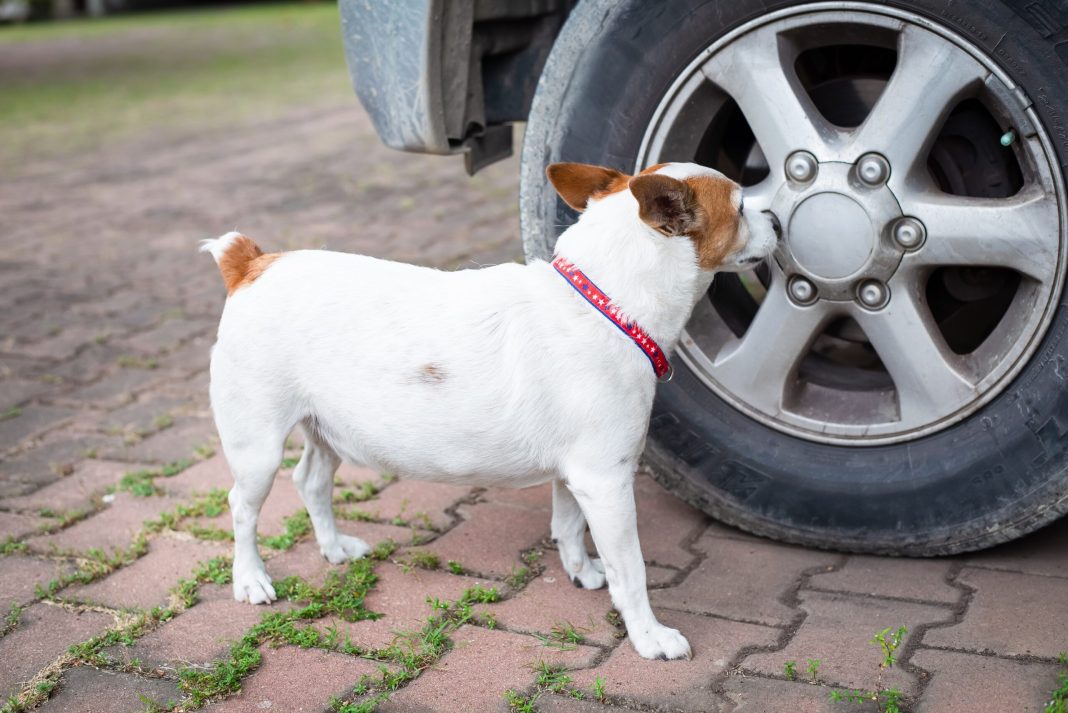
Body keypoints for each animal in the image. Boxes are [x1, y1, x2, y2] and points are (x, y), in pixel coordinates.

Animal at [201, 163, 777, 661]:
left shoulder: (577, 477)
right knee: (242, 508)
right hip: (257, 448)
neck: (605, 303)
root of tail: (253, 263)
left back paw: (334, 547)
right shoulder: (607, 483)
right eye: (742, 207)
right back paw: (250, 579)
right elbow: (630, 570)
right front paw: (649, 636)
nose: (775, 218)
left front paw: (581, 570)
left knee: (311, 482)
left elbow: (567, 525)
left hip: (327, 430)